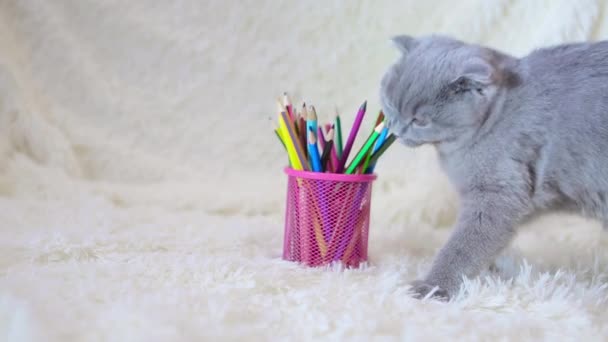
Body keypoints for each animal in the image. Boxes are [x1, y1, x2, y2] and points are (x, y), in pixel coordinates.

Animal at [380, 34, 608, 300]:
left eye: (420, 121)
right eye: (390, 105)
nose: (396, 129)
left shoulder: (497, 193)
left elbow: (465, 244)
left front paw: (433, 286)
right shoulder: (523, 198)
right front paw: (496, 268)